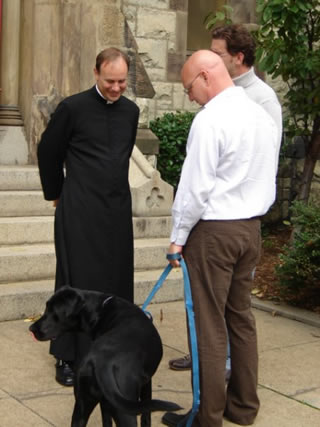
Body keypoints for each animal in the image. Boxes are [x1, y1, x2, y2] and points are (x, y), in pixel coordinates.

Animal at [29, 288, 180, 427]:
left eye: (53, 311)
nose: (31, 328)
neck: (101, 310)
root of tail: (101, 363)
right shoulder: (147, 384)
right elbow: (146, 417)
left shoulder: (104, 401)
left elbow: (106, 420)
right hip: (125, 412)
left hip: (82, 407)